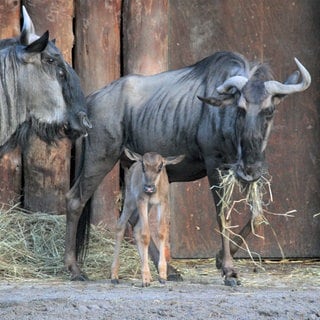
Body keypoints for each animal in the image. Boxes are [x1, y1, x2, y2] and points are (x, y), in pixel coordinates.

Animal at [111, 149, 184, 286]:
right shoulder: (142, 201)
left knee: (136, 228)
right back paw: (114, 276)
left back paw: (149, 277)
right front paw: (144, 278)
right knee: (120, 225)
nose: (148, 187)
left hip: (148, 206)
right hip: (130, 201)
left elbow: (161, 232)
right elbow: (145, 234)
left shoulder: (162, 202)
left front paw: (162, 276)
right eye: (143, 166)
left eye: (160, 167)